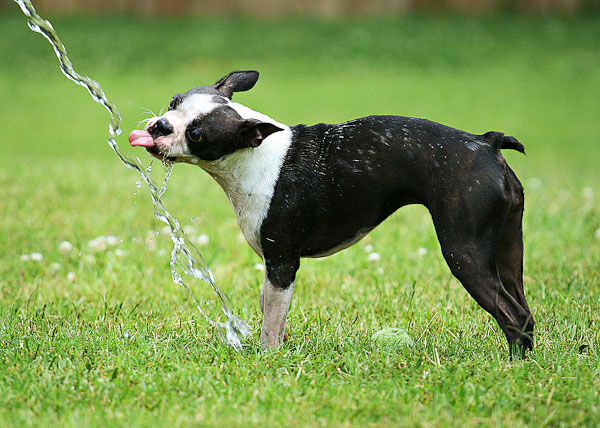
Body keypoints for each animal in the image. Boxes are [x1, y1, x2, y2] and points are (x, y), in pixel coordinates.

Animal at [130, 71, 536, 358]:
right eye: (173, 102)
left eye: (197, 133)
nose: (160, 125)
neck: (253, 154)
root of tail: (485, 142)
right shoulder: (272, 268)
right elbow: (268, 306)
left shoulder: (282, 263)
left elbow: (271, 319)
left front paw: (267, 357)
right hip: (508, 250)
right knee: (523, 309)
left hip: (464, 252)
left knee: (511, 314)